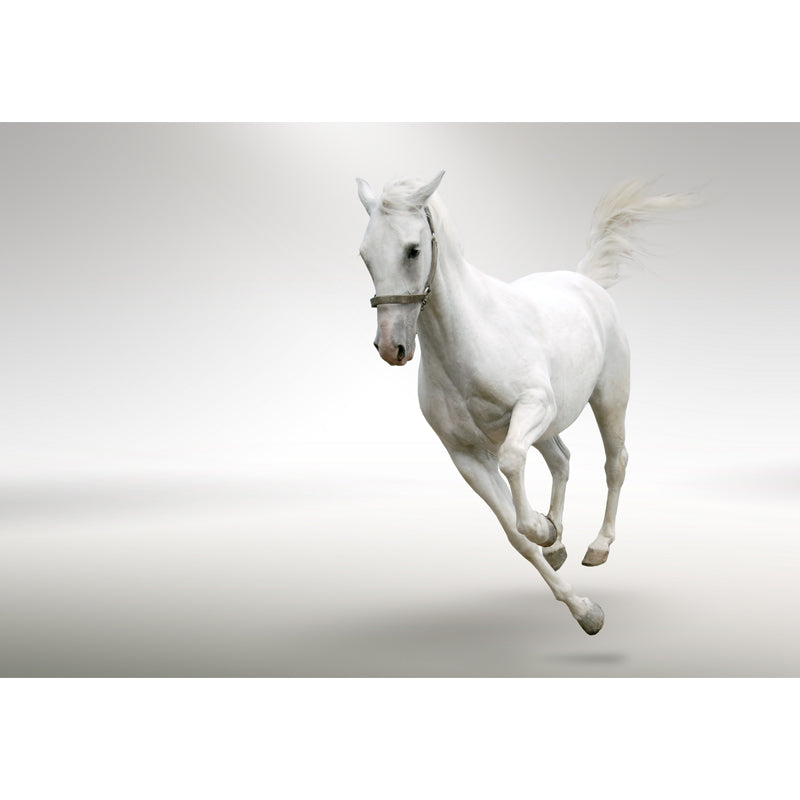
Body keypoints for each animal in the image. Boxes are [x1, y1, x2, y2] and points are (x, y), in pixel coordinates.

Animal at [356, 172, 693, 634]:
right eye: (365, 256)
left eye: (413, 249)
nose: (392, 348)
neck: (470, 339)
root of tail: (584, 281)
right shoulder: (465, 455)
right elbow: (516, 536)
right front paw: (583, 606)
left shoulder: (533, 407)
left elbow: (514, 463)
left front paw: (545, 531)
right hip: (550, 426)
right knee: (563, 460)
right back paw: (560, 542)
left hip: (608, 399)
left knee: (615, 463)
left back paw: (598, 546)